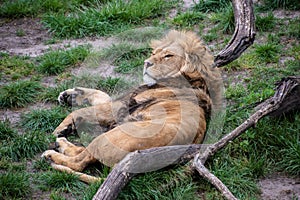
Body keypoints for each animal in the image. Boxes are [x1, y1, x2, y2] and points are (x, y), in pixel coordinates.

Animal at [41, 29, 221, 183]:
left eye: (168, 56)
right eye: (153, 54)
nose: (146, 63)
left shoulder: (121, 106)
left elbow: (84, 110)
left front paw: (61, 127)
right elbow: (100, 94)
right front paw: (68, 95)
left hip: (108, 137)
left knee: (79, 161)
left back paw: (52, 154)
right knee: (82, 153)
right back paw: (61, 143)